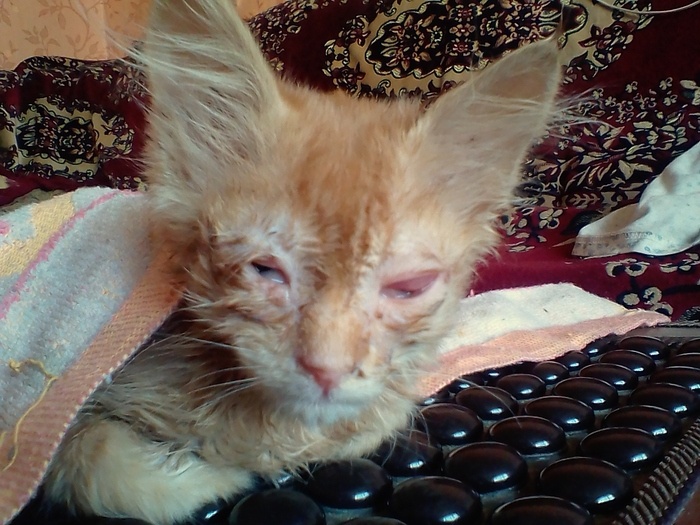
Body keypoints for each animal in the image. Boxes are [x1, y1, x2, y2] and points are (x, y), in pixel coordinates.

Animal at [42, 0, 562, 523]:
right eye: (265, 271)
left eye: (409, 286)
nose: (326, 370)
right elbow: (97, 465)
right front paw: (209, 476)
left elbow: (374, 419)